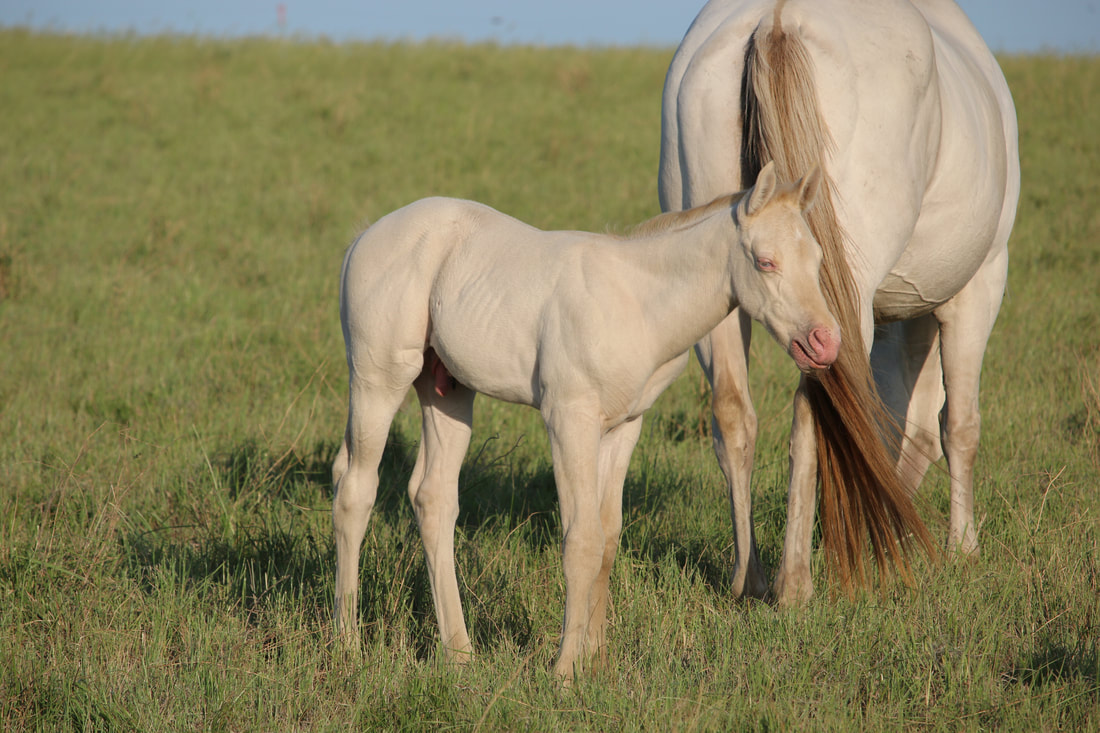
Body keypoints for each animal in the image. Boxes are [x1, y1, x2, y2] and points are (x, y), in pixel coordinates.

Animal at [330, 162, 922, 680]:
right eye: (765, 261)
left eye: (817, 259)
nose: (825, 343)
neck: (636, 304)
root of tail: (363, 239)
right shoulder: (568, 418)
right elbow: (581, 541)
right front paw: (565, 671)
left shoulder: (624, 425)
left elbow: (608, 538)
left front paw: (596, 659)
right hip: (379, 378)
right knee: (355, 489)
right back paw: (348, 644)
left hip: (448, 389)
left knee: (433, 498)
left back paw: (459, 653)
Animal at [658, 0, 1020, 605]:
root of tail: (777, 19)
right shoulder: (979, 286)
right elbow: (957, 425)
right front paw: (961, 549)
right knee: (812, 414)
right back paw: (795, 584)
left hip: (718, 295)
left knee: (733, 414)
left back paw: (750, 579)